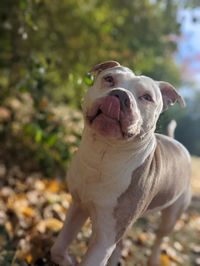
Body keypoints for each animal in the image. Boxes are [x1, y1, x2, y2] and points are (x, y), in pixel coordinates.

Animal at [50, 60, 191, 266]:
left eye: (147, 97)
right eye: (109, 79)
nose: (120, 94)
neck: (103, 155)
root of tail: (177, 143)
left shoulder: (105, 239)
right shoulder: (78, 205)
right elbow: (59, 245)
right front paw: (64, 258)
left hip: (171, 216)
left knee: (159, 237)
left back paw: (154, 258)